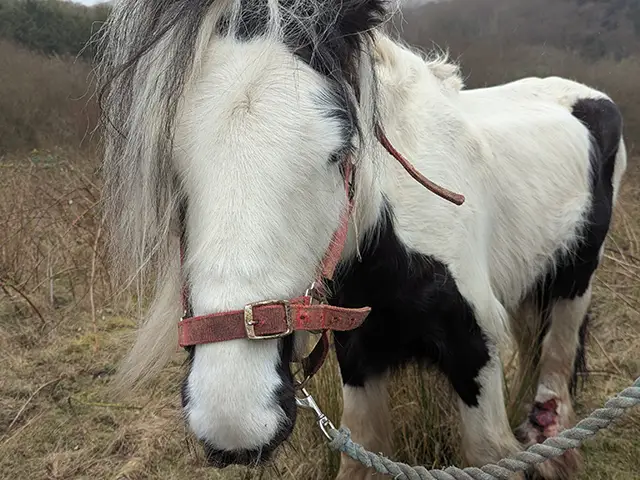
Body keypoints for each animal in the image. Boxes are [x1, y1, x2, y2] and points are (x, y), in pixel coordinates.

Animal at [96, 0, 627, 478]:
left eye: (339, 153)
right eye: (171, 166)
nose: (234, 414)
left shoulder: (476, 348)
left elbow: (491, 453)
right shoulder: (358, 354)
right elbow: (362, 453)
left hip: (574, 285)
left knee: (553, 387)